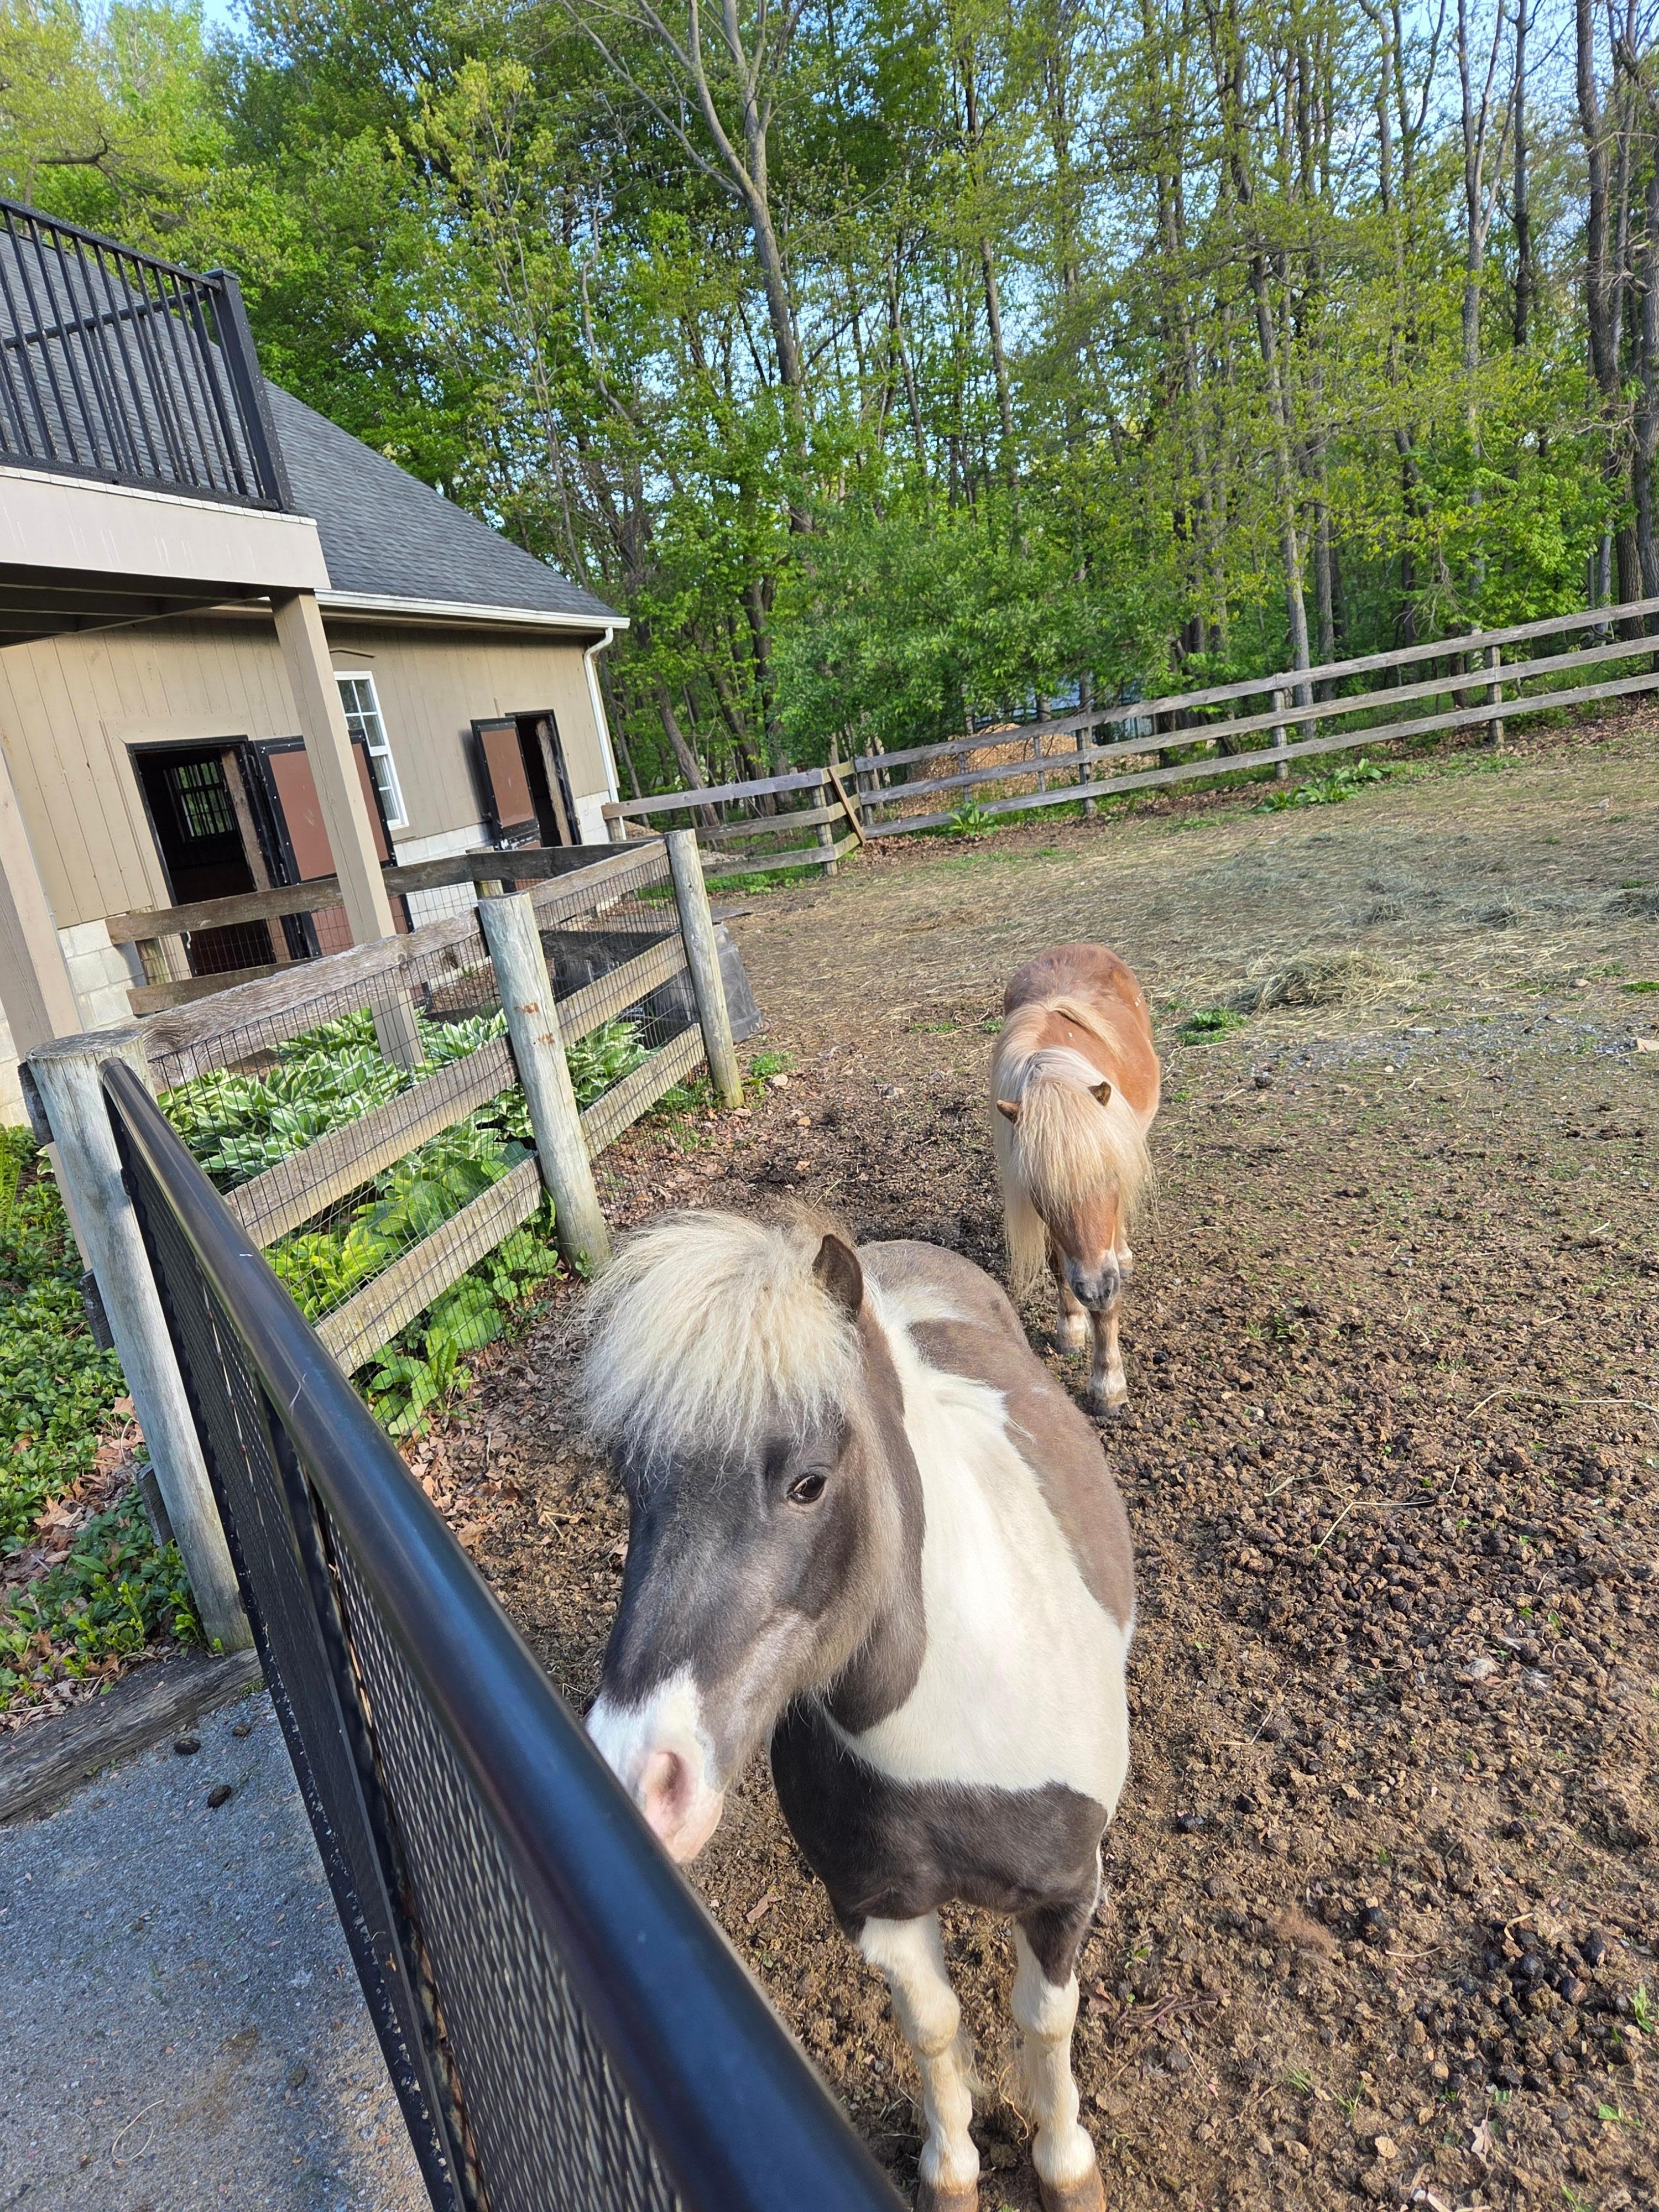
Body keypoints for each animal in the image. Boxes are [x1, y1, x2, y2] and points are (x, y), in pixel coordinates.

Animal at [580, 1209, 1135, 2212]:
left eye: (809, 1482)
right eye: (630, 1486)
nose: (642, 1777)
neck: (957, 1736)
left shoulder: (1068, 1894)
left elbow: (1044, 2020)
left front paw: (1066, 2166)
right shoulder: (876, 1909)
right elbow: (932, 2027)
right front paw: (952, 2171)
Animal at [991, 943, 1160, 1411]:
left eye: (1110, 1174)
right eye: (1039, 1191)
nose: (1094, 1290)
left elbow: (1109, 1299)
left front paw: (1108, 1385)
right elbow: (1056, 1265)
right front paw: (1071, 1326)